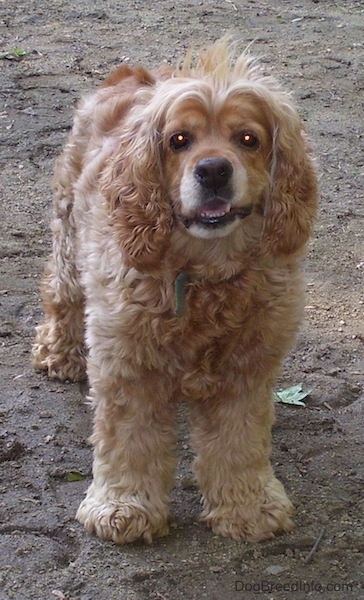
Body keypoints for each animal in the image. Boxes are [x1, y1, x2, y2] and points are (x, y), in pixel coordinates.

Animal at [32, 38, 318, 544]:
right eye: (178, 140)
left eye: (249, 139)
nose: (214, 170)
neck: (204, 272)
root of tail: (130, 75)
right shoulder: (126, 360)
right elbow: (129, 440)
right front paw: (123, 506)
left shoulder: (248, 365)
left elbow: (239, 440)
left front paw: (248, 506)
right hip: (68, 233)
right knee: (60, 291)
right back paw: (61, 355)